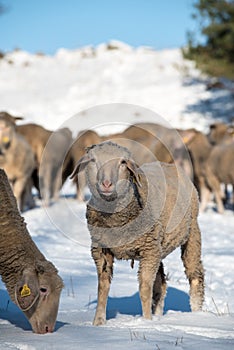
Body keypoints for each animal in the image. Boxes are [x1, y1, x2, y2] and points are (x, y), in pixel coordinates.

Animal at [70, 140, 204, 326]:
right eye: (93, 160)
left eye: (122, 162)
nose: (106, 184)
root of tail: (168, 164)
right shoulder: (101, 250)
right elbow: (103, 287)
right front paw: (98, 322)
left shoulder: (148, 250)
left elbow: (144, 288)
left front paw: (146, 321)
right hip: (158, 246)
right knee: (161, 284)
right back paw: (159, 314)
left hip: (190, 233)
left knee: (195, 275)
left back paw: (197, 313)